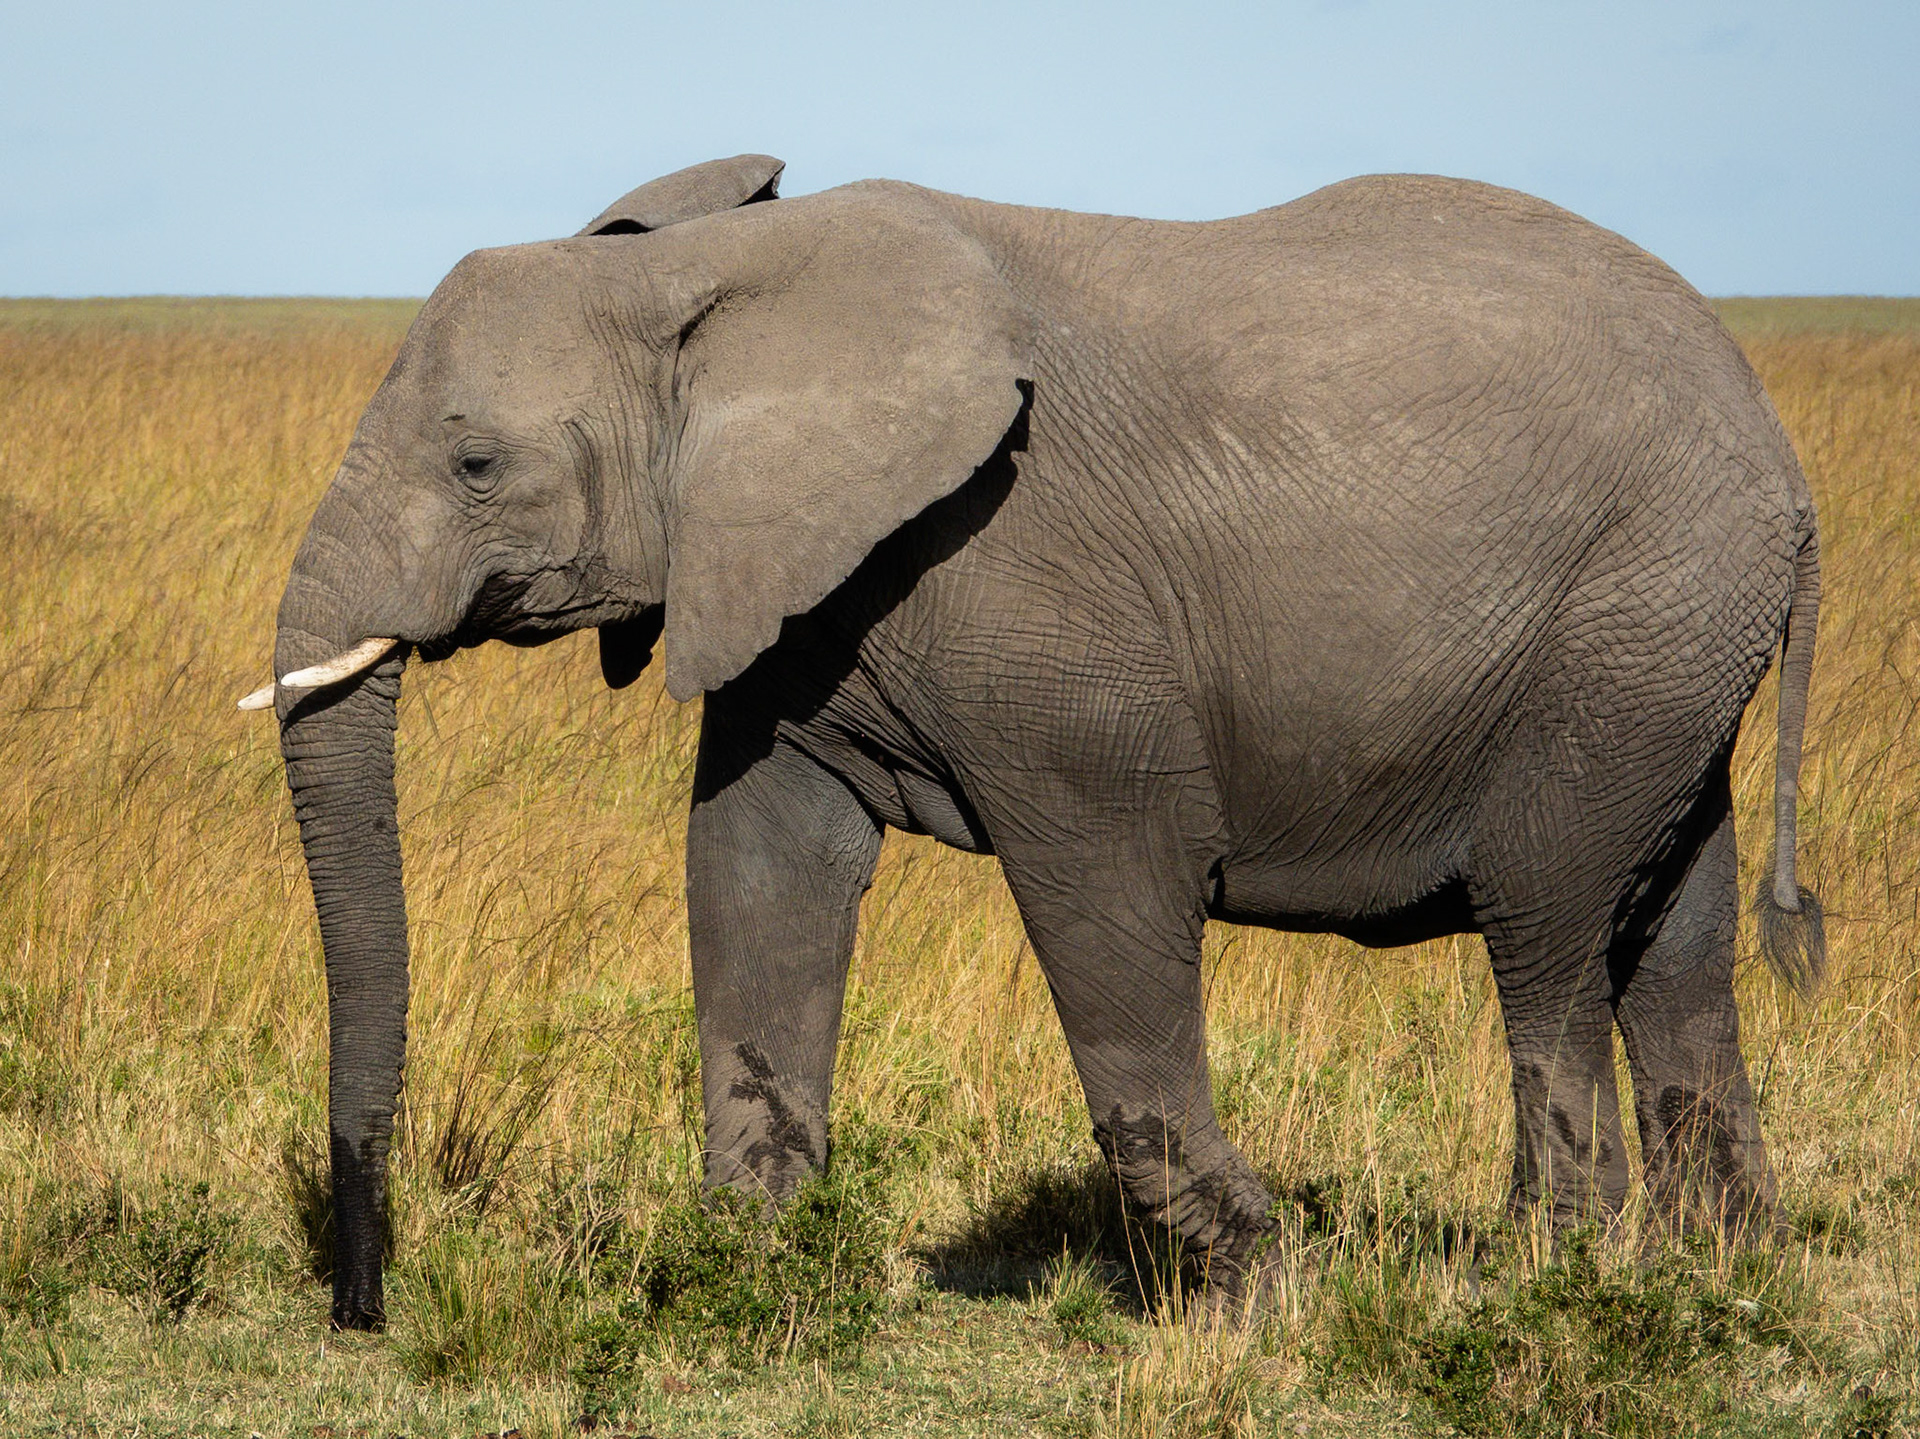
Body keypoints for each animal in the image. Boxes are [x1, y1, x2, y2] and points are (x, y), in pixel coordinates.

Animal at [240, 153, 1823, 1331]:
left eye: (474, 463)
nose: (365, 1307)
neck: (705, 277)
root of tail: (1782, 453)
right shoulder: (786, 586)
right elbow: (753, 874)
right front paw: (745, 1280)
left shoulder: (1041, 606)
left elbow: (1107, 903)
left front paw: (1262, 1300)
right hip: (1669, 647)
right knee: (1677, 935)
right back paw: (1723, 1264)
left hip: (1628, 618)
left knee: (1544, 922)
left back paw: (1546, 1275)